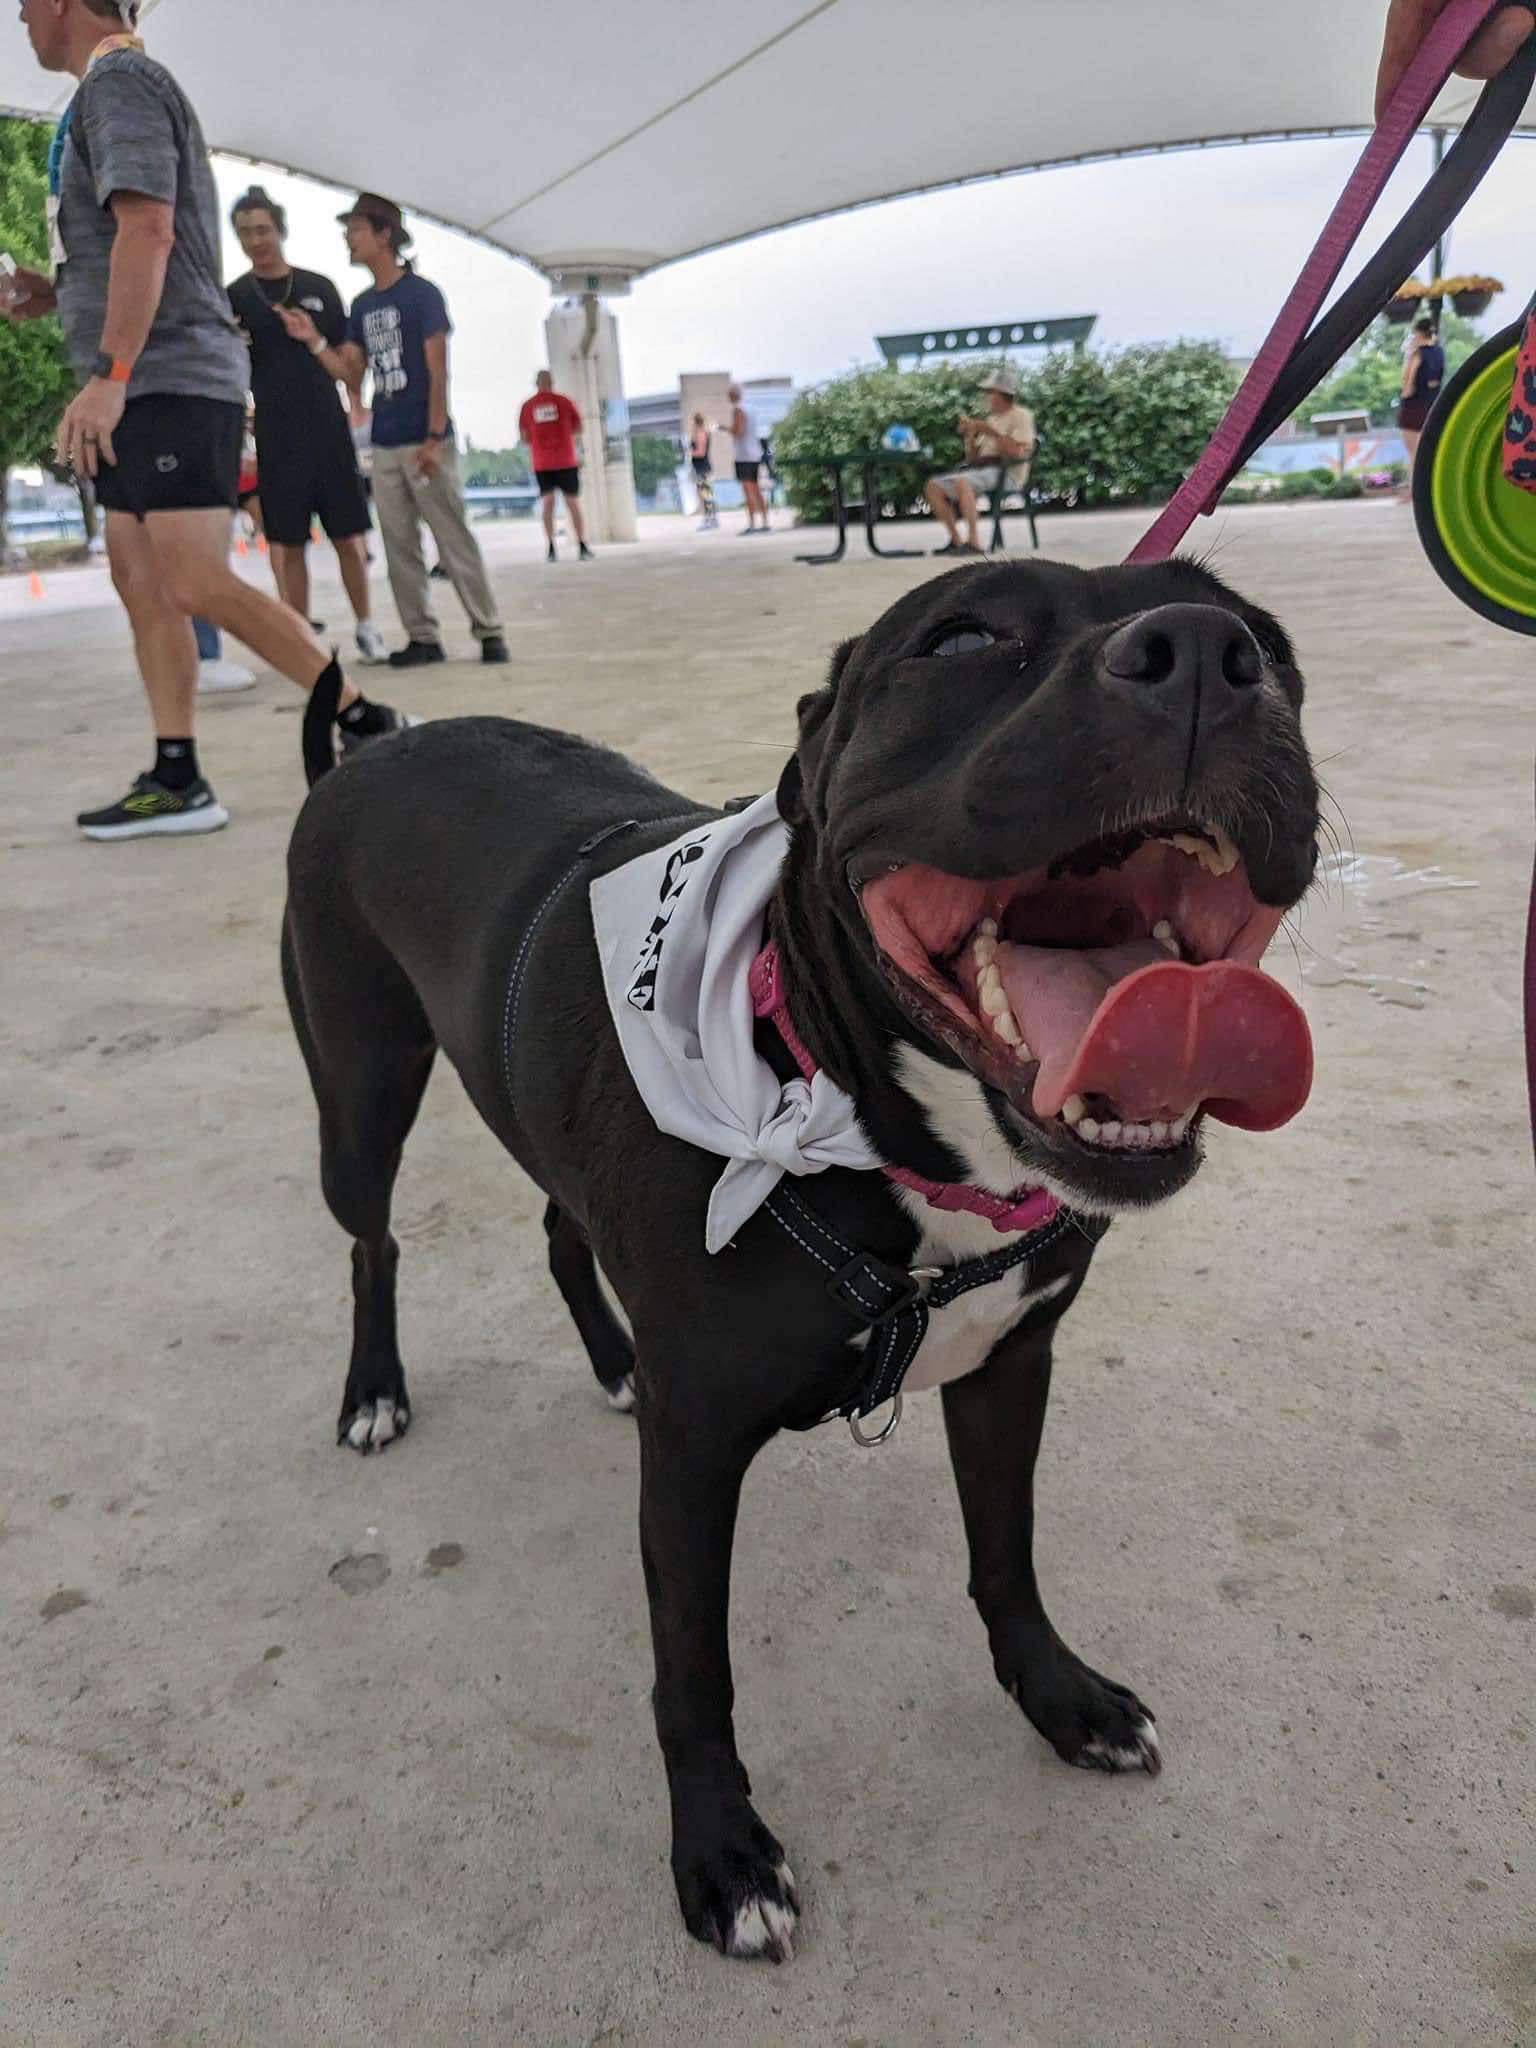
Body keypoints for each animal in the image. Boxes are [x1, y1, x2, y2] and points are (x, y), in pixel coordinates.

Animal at [286, 552, 1327, 1957]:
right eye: (962, 638)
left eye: (1270, 639)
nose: (1210, 655)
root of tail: (360, 754)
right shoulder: (693, 1455)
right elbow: (692, 1670)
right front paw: (721, 1851)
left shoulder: (1011, 1366)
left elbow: (1007, 1554)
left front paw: (1061, 1695)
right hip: (361, 1090)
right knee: (374, 1241)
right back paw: (375, 1391)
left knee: (561, 1228)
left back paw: (609, 1358)